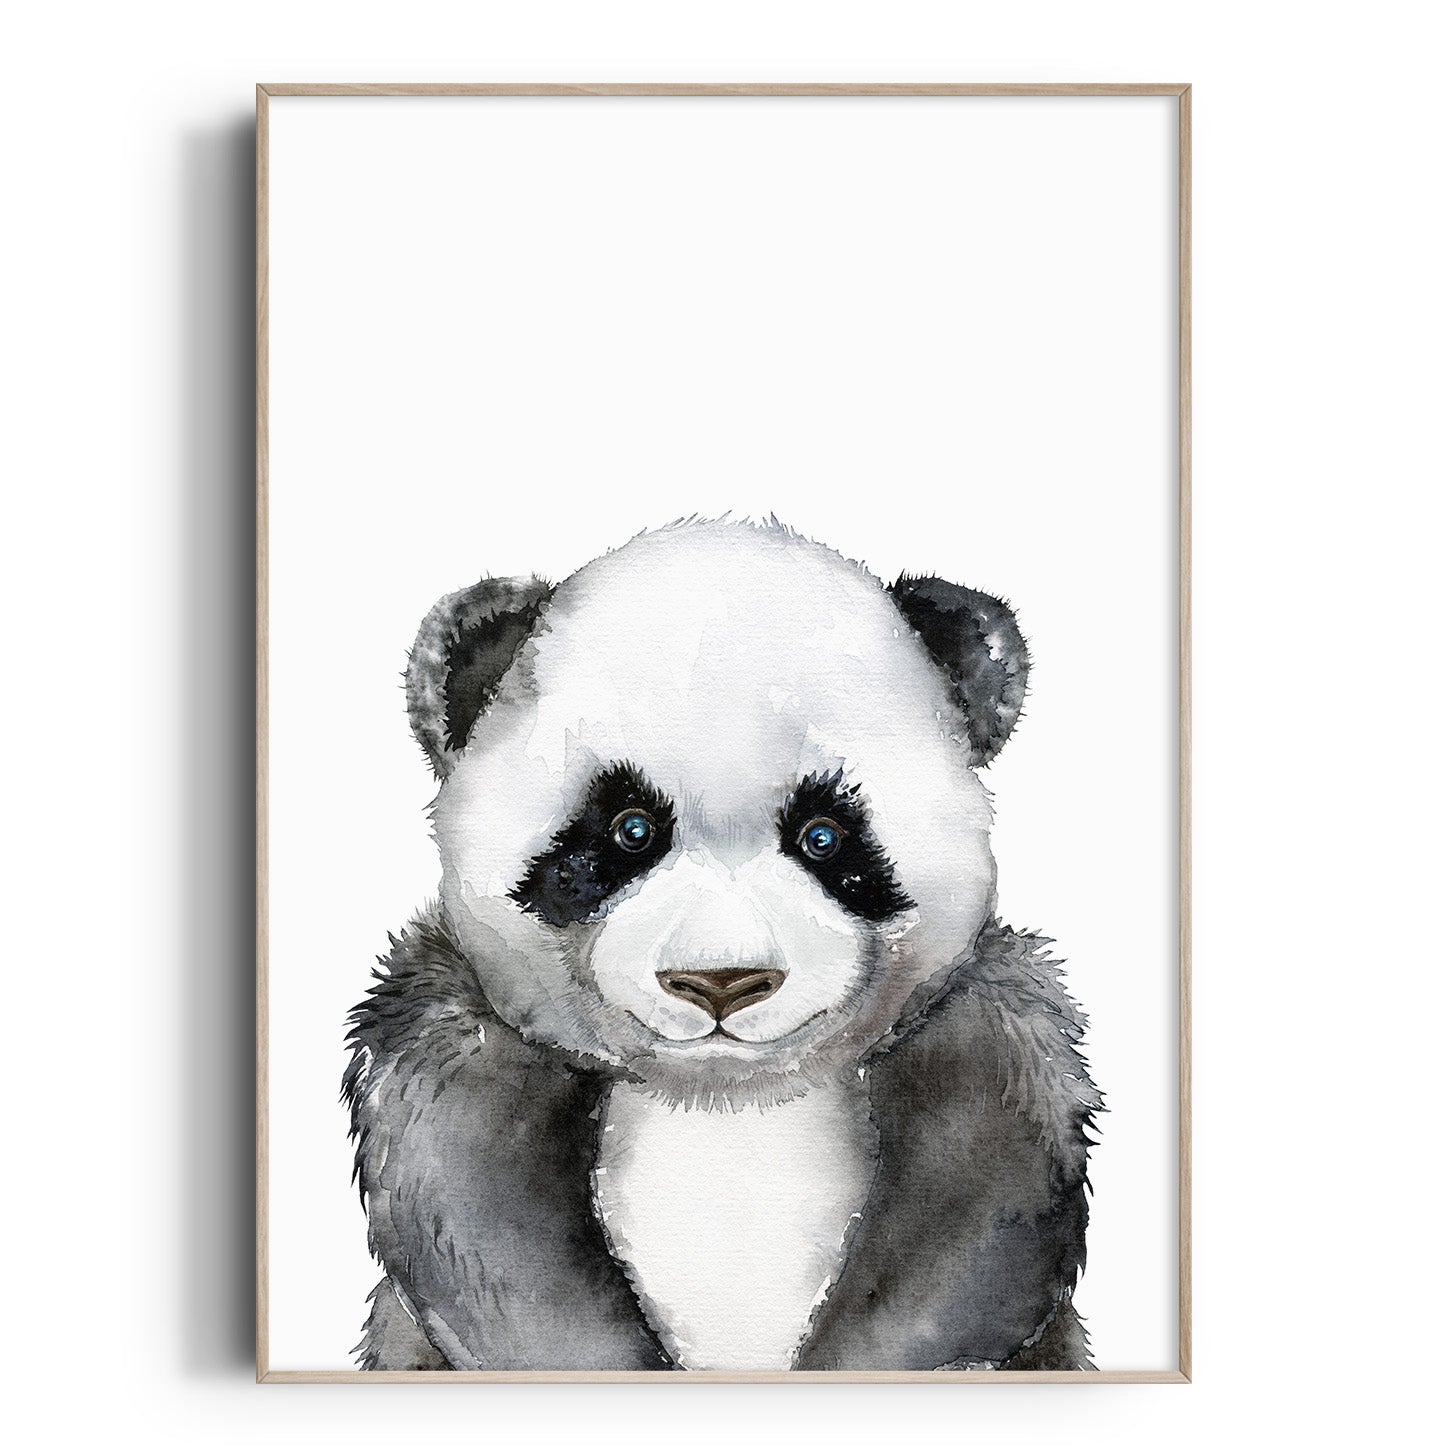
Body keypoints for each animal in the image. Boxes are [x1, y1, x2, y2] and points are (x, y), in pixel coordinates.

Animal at [342, 517, 1101, 1373]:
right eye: (630, 830)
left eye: (823, 836)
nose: (723, 981)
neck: (725, 1104)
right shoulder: (450, 1054)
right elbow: (481, 1233)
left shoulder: (996, 1049)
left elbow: (977, 1232)